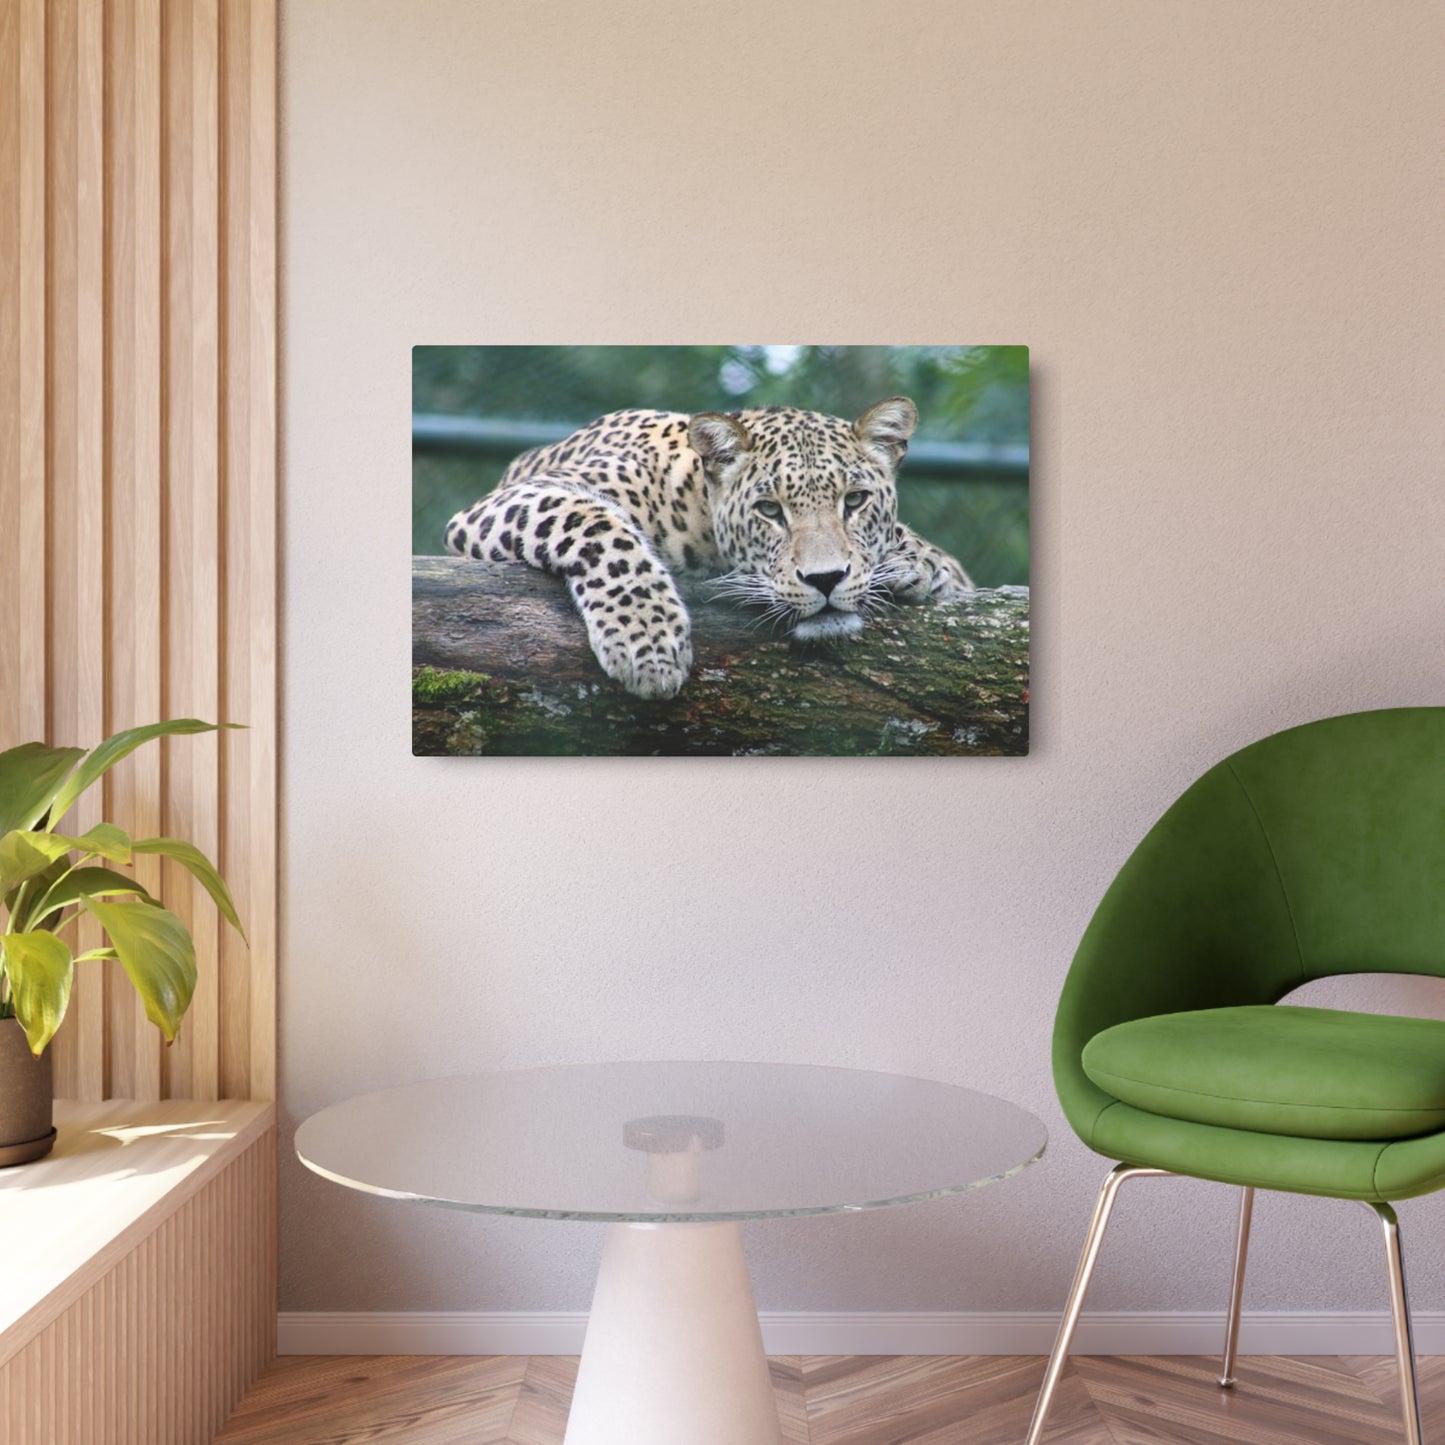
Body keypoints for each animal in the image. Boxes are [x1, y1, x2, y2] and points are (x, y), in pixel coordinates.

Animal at [443, 396, 973, 700]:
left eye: (856, 501)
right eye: (769, 510)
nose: (825, 580)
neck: (695, 505)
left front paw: (922, 563)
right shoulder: (510, 501)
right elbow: (597, 525)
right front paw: (648, 642)